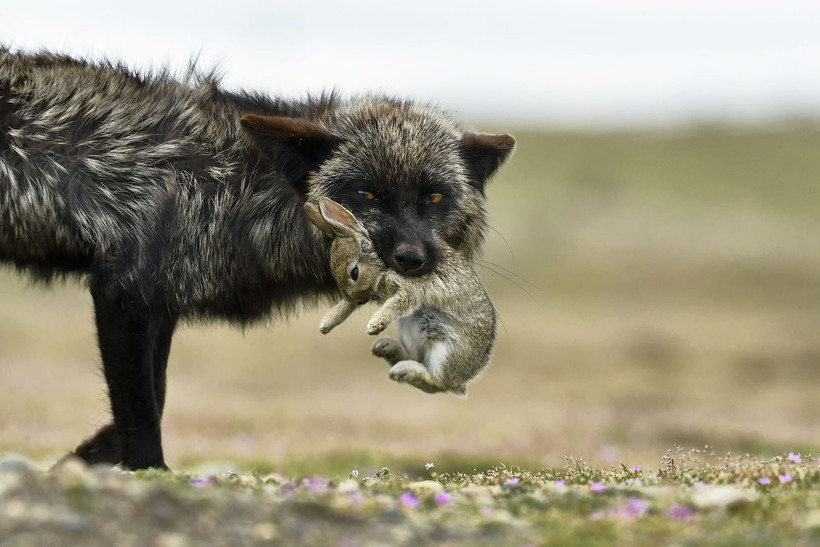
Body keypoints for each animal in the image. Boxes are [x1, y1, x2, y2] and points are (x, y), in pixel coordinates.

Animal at [304, 199, 496, 396]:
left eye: (354, 272)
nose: (359, 300)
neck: (382, 263)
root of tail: (467, 376)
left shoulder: (408, 290)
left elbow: (398, 303)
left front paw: (375, 324)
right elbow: (347, 305)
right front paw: (327, 322)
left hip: (445, 352)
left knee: (436, 383)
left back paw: (402, 370)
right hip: (409, 331)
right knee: (418, 360)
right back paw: (386, 349)